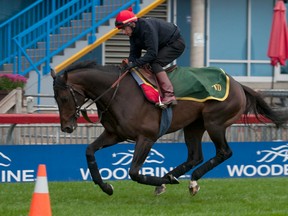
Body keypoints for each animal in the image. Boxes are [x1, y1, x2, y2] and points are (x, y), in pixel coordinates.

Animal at [51, 60, 288, 196]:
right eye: (56, 98)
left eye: (64, 97)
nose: (67, 128)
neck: (118, 93)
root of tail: (238, 84)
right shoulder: (114, 134)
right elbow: (89, 151)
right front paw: (106, 187)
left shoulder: (146, 137)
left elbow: (134, 172)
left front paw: (161, 181)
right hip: (194, 125)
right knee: (195, 156)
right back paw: (178, 178)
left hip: (215, 122)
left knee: (224, 152)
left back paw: (183, 179)